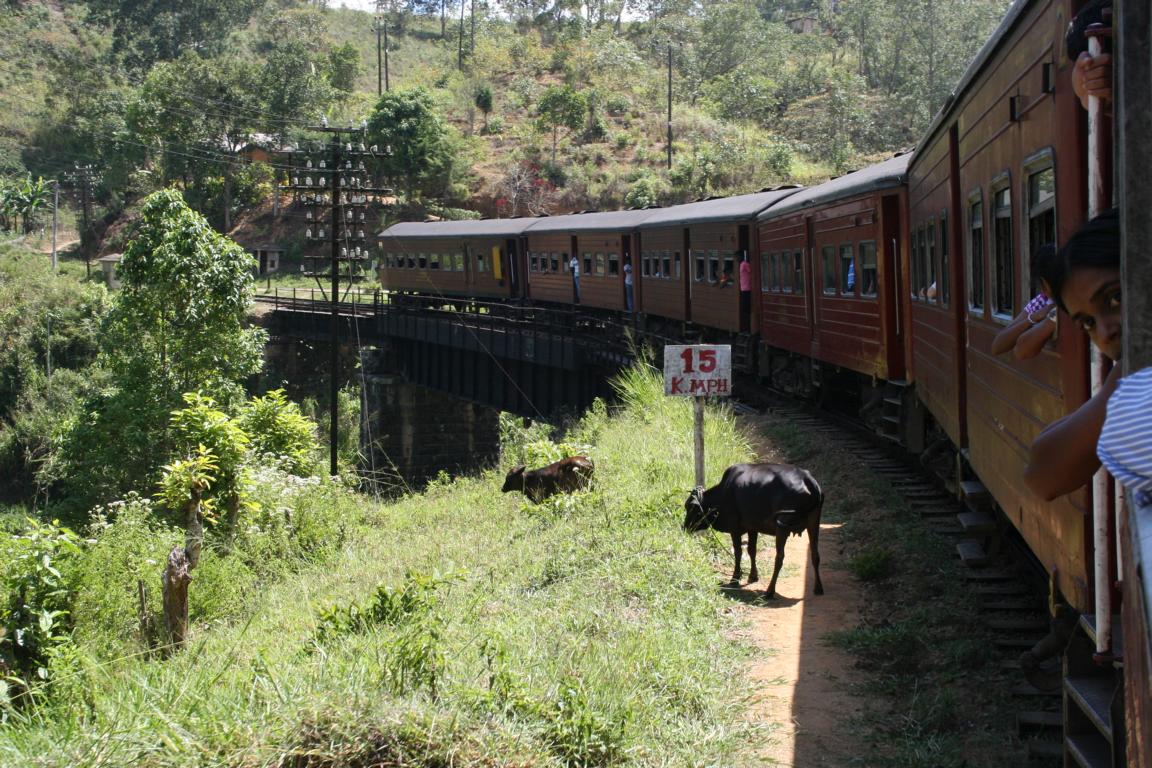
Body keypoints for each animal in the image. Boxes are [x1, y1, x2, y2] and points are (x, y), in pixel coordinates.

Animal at [677, 462, 824, 598]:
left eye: (690, 507)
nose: (684, 527)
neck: (724, 492)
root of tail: (808, 480)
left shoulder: (735, 528)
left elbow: (738, 552)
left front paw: (735, 578)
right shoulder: (752, 527)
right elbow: (752, 551)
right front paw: (753, 576)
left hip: (782, 527)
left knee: (779, 558)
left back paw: (770, 591)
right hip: (814, 524)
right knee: (815, 555)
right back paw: (818, 588)